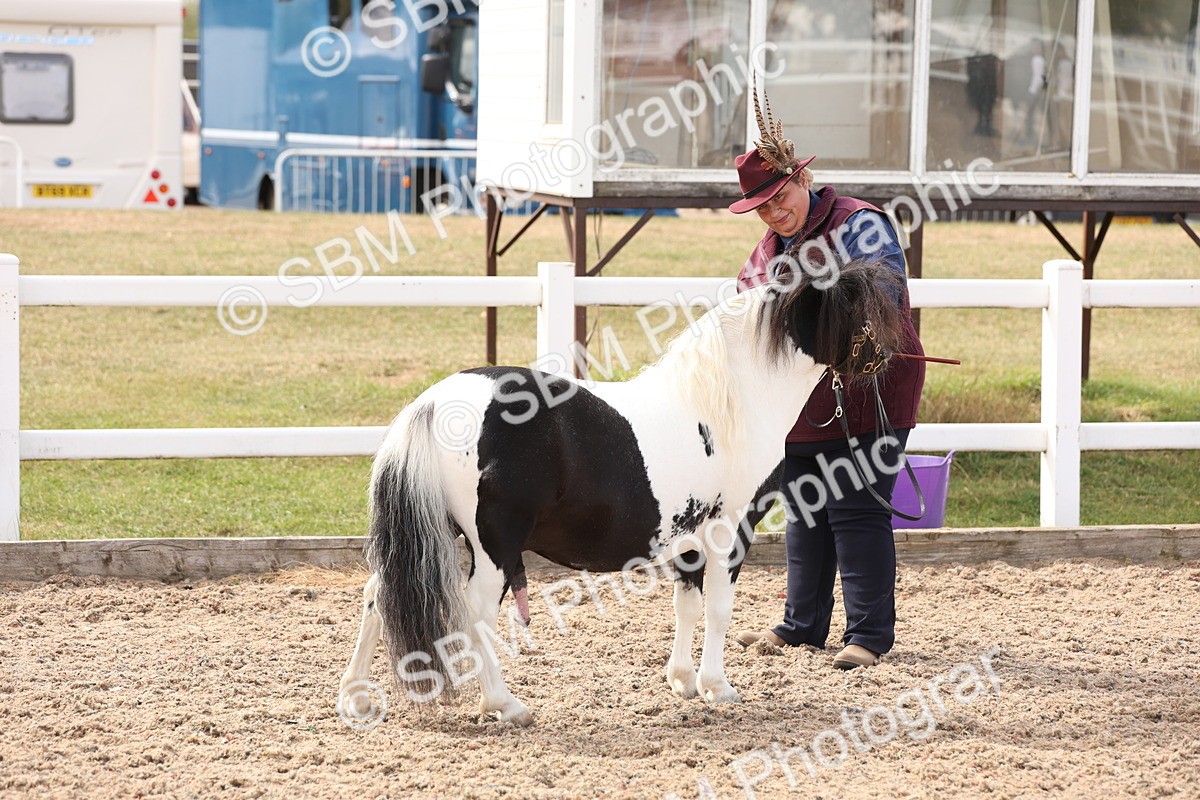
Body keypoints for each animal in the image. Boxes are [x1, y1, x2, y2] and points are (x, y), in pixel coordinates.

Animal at [338, 262, 906, 726]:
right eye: (855, 310)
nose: (884, 359)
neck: (733, 403)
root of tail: (434, 403)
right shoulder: (731, 531)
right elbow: (719, 609)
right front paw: (717, 687)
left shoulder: (689, 539)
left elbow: (687, 605)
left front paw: (682, 680)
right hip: (493, 548)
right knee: (475, 615)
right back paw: (506, 705)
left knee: (376, 594)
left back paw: (355, 697)